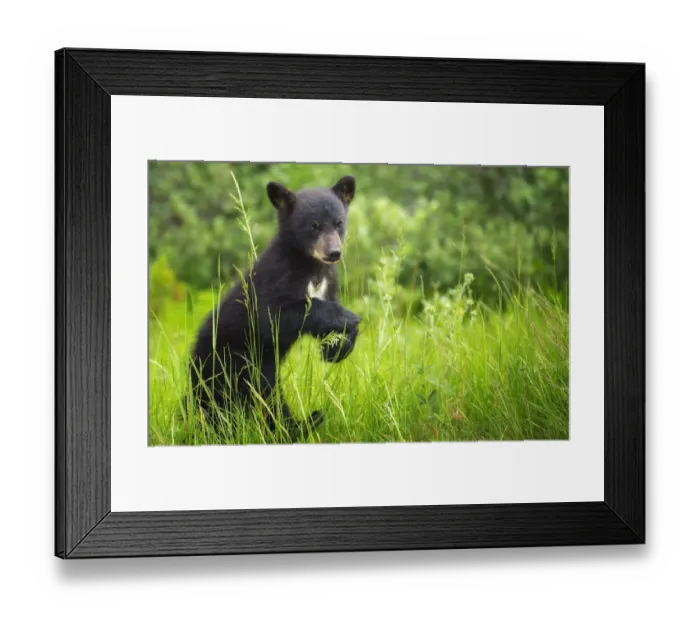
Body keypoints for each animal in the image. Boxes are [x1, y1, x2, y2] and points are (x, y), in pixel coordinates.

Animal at [187, 175, 362, 440]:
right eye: (313, 226)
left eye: (338, 223)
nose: (333, 253)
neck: (311, 266)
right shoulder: (276, 278)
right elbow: (273, 317)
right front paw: (348, 317)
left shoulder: (330, 282)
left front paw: (337, 347)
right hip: (231, 362)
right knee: (245, 397)